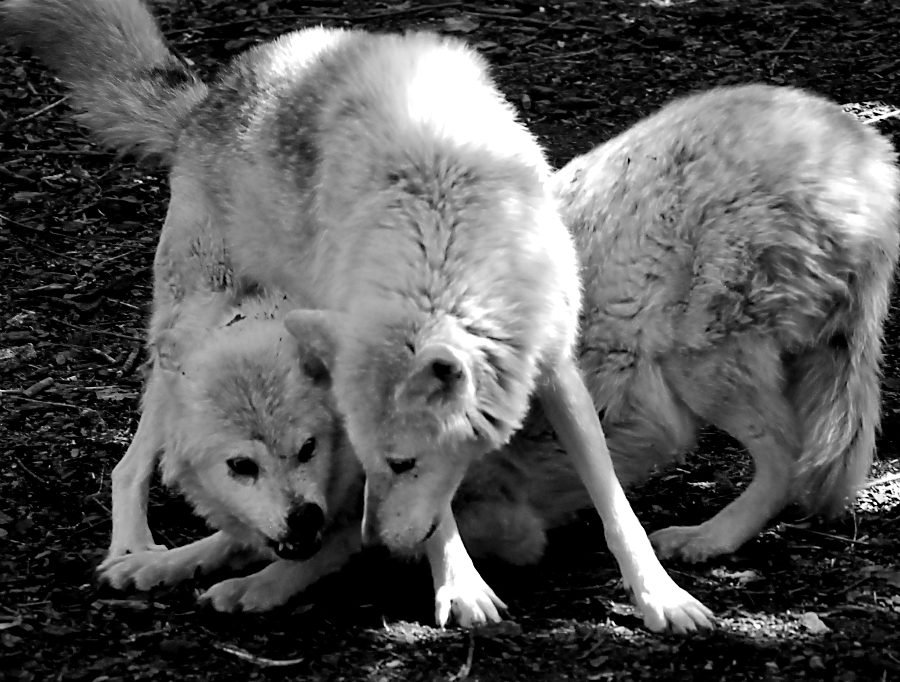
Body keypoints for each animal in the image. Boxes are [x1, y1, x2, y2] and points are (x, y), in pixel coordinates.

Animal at [2, 0, 711, 631]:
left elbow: (613, 499)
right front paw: (460, 586)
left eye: (398, 465)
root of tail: (211, 96)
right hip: (183, 341)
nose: (377, 543)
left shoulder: (556, 365)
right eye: (377, 461)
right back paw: (137, 554)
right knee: (132, 463)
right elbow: (441, 517)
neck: (444, 213)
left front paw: (661, 596)